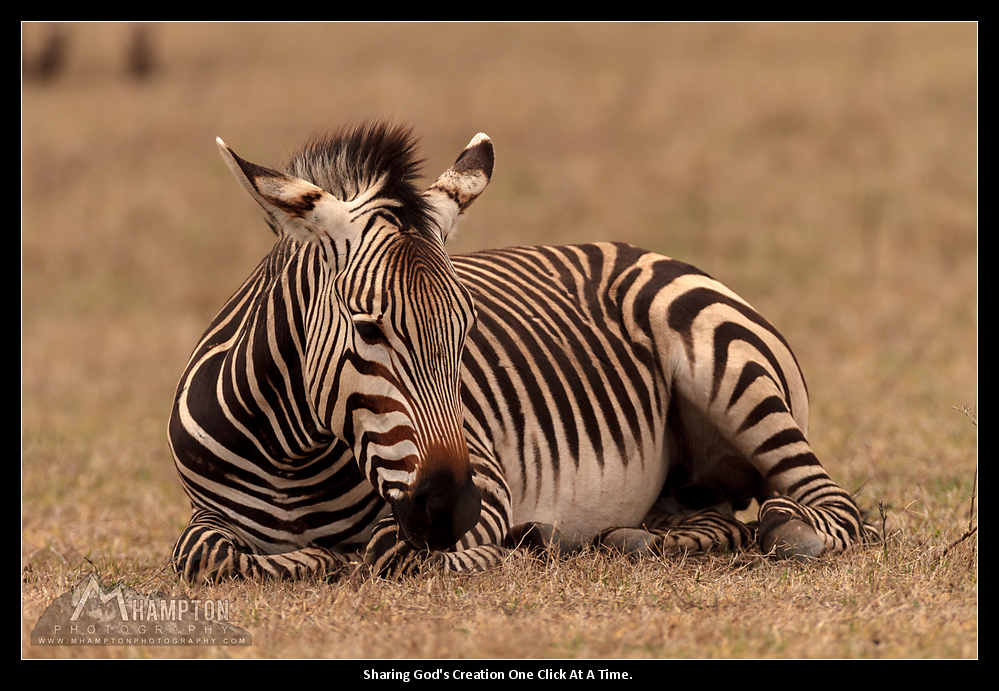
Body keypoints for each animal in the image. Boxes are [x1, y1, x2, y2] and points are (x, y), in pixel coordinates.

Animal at [168, 121, 880, 580]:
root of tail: (639, 248)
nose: (454, 507)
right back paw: (631, 538)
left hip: (734, 371)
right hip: (687, 481)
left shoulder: (482, 480)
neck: (294, 456)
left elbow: (386, 553)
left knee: (833, 503)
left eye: (466, 328)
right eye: (369, 330)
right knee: (715, 518)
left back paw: (791, 531)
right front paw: (305, 557)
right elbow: (199, 554)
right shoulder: (205, 515)